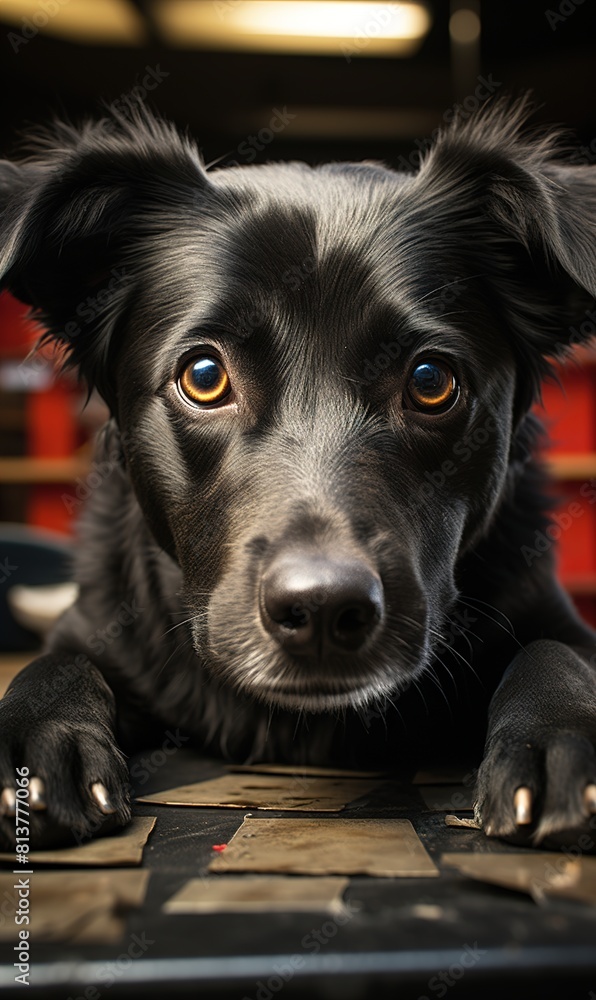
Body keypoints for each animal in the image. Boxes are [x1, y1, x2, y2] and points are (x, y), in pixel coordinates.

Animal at [1, 99, 596, 852]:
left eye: (431, 381)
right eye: (204, 375)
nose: (321, 610)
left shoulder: (548, 612)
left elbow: (556, 652)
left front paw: (557, 737)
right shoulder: (93, 626)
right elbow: (50, 665)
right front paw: (31, 740)